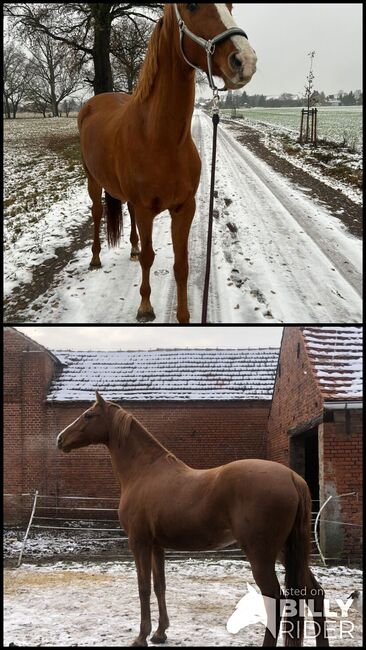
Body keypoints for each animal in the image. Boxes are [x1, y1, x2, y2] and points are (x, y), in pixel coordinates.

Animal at [58, 390, 328, 644]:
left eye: (88, 415)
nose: (60, 439)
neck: (144, 472)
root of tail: (292, 477)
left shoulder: (139, 543)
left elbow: (143, 587)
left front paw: (141, 636)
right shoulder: (157, 546)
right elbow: (160, 585)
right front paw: (160, 633)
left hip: (261, 553)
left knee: (275, 599)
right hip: (287, 550)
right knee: (314, 593)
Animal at [78, 3, 256, 322]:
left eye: (231, 6)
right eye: (192, 6)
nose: (244, 60)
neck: (161, 140)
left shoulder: (185, 208)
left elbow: (181, 264)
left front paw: (184, 316)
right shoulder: (147, 210)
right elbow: (151, 258)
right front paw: (145, 306)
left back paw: (132, 249)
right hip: (93, 181)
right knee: (98, 213)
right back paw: (96, 258)